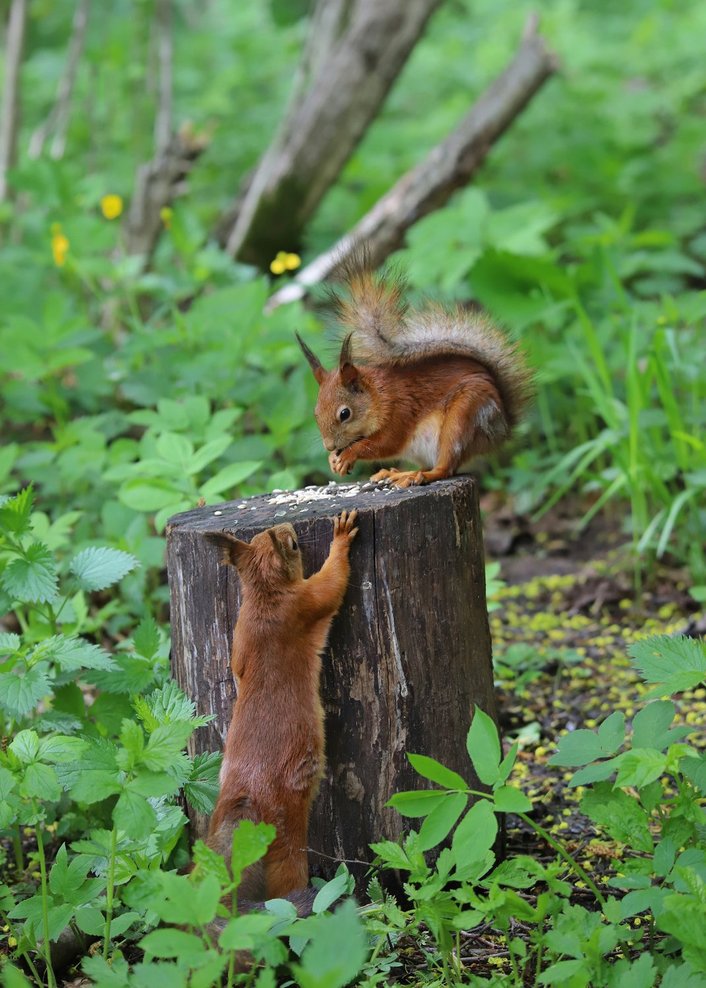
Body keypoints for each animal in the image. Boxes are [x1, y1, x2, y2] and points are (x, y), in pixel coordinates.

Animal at [204, 512, 358, 916]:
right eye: (291, 544)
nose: (288, 527)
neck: (264, 597)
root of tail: (246, 796)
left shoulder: (240, 637)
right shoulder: (305, 602)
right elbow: (333, 584)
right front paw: (341, 536)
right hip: (287, 832)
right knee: (286, 877)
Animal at [294, 258, 532, 486]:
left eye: (345, 414)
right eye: (316, 413)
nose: (328, 446)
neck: (379, 395)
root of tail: (502, 429)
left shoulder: (400, 411)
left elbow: (384, 444)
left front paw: (347, 455)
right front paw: (333, 460)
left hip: (463, 417)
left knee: (445, 467)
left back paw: (417, 476)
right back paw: (396, 473)